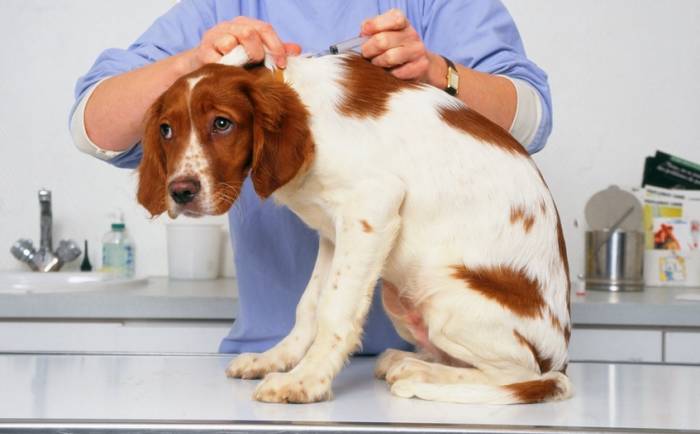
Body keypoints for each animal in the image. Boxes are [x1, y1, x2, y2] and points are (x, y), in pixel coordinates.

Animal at [138, 46, 576, 404]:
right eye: (166, 130)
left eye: (222, 124)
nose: (180, 192)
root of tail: (560, 357)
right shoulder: (334, 232)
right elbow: (309, 305)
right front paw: (276, 359)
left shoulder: (372, 209)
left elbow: (335, 310)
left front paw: (306, 381)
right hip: (402, 301)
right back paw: (407, 360)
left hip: (444, 295)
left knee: (522, 375)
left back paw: (419, 372)